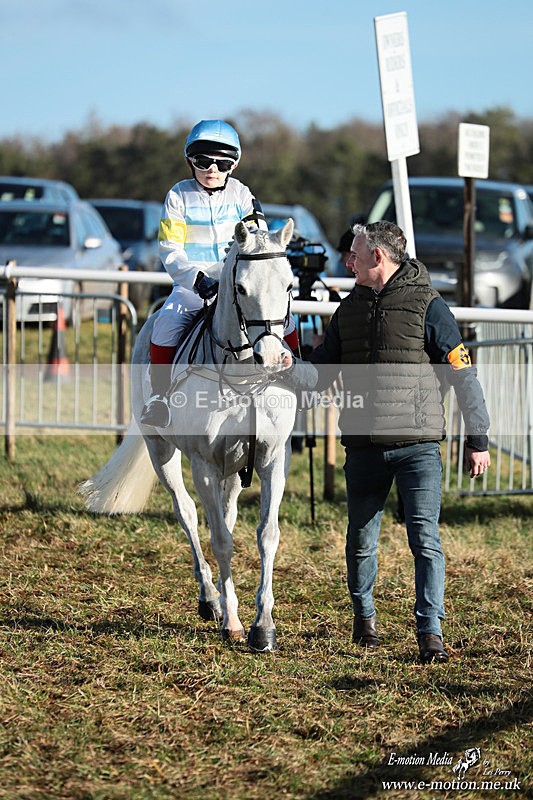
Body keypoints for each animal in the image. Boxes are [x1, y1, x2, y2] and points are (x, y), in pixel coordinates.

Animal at [80, 218, 309, 652]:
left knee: (228, 513)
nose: (274, 358)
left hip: (235, 468)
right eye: (241, 288)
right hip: (162, 453)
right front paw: (232, 620)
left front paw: (264, 626)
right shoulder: (204, 464)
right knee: (186, 512)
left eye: (289, 285)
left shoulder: (272, 459)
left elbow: (266, 534)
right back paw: (210, 599)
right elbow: (219, 539)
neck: (243, 378)